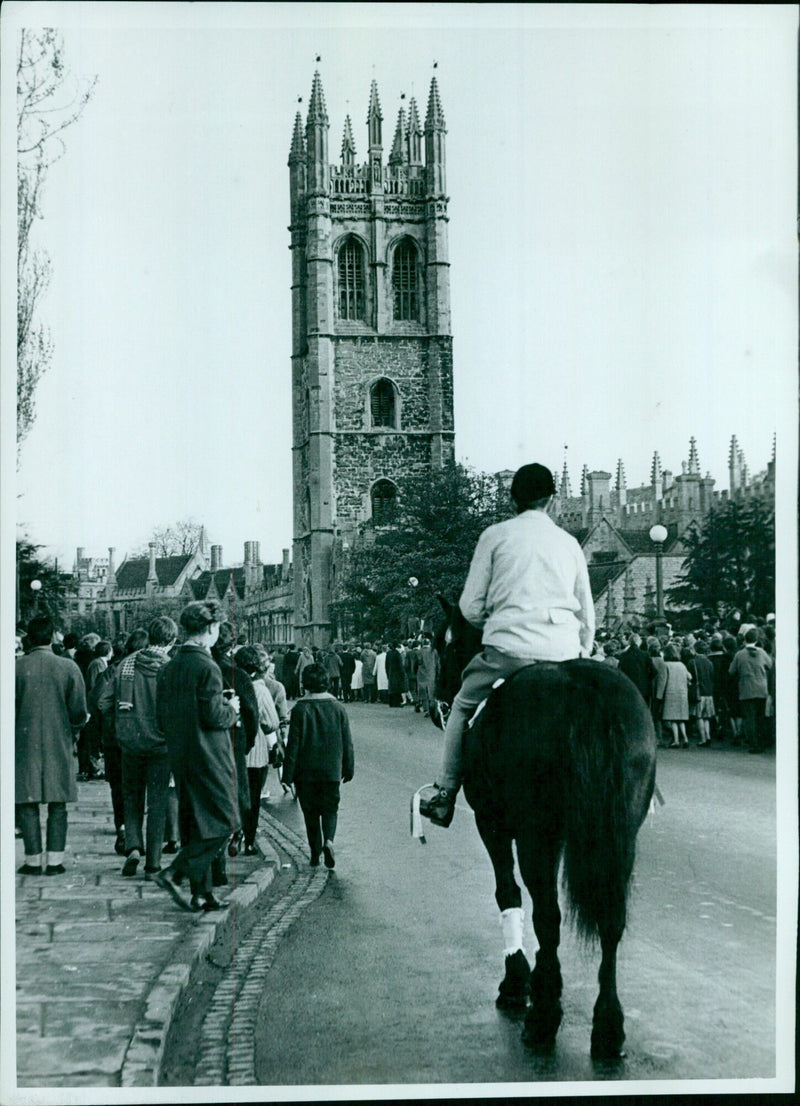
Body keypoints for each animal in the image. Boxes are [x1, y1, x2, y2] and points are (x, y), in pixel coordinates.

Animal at [431, 601, 655, 1057]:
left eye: (444, 644)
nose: (437, 704)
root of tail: (585, 689)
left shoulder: (494, 824)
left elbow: (508, 893)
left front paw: (518, 980)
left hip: (537, 835)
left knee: (548, 914)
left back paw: (543, 1016)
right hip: (620, 837)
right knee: (612, 919)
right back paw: (608, 1024)